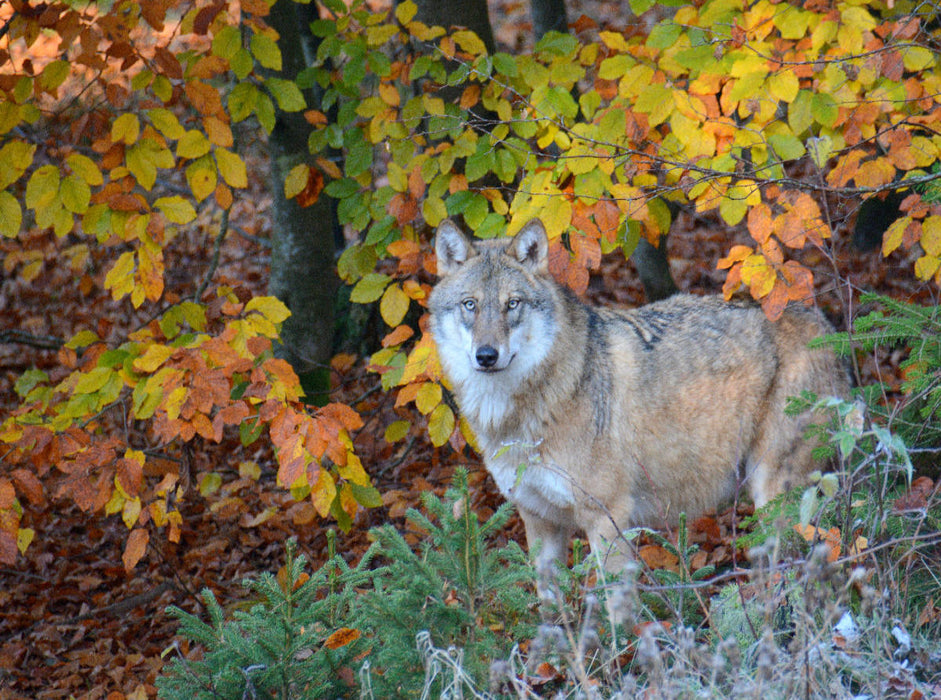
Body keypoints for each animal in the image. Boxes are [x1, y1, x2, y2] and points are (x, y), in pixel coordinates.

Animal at [428, 218, 850, 585]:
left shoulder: (607, 518)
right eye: (469, 305)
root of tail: (826, 326)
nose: (486, 355)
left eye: (512, 304)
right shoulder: (539, 521)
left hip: (772, 494)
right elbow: (551, 614)